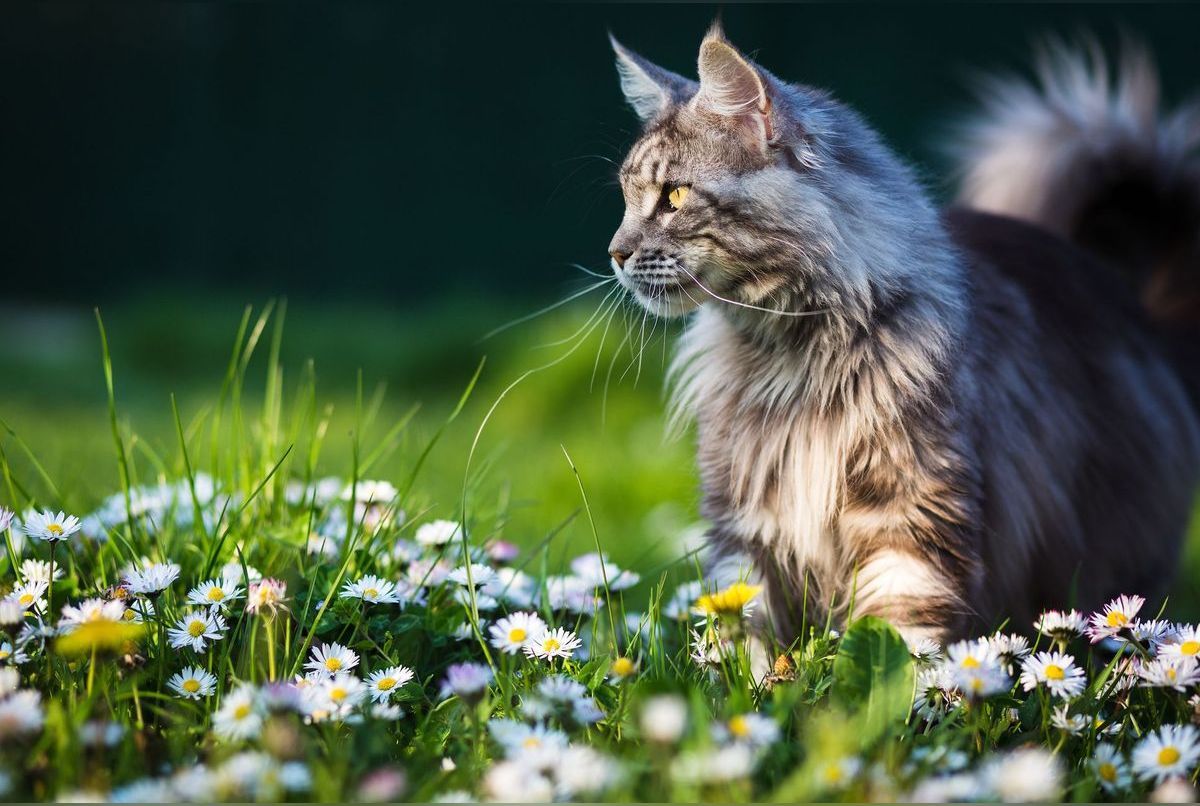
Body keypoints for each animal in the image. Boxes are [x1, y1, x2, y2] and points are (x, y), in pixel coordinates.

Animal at [604, 22, 1200, 647]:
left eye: (673, 196)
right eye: (626, 198)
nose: (614, 252)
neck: (791, 354)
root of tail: (1130, 301)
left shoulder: (912, 521)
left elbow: (902, 643)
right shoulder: (744, 526)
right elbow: (743, 643)